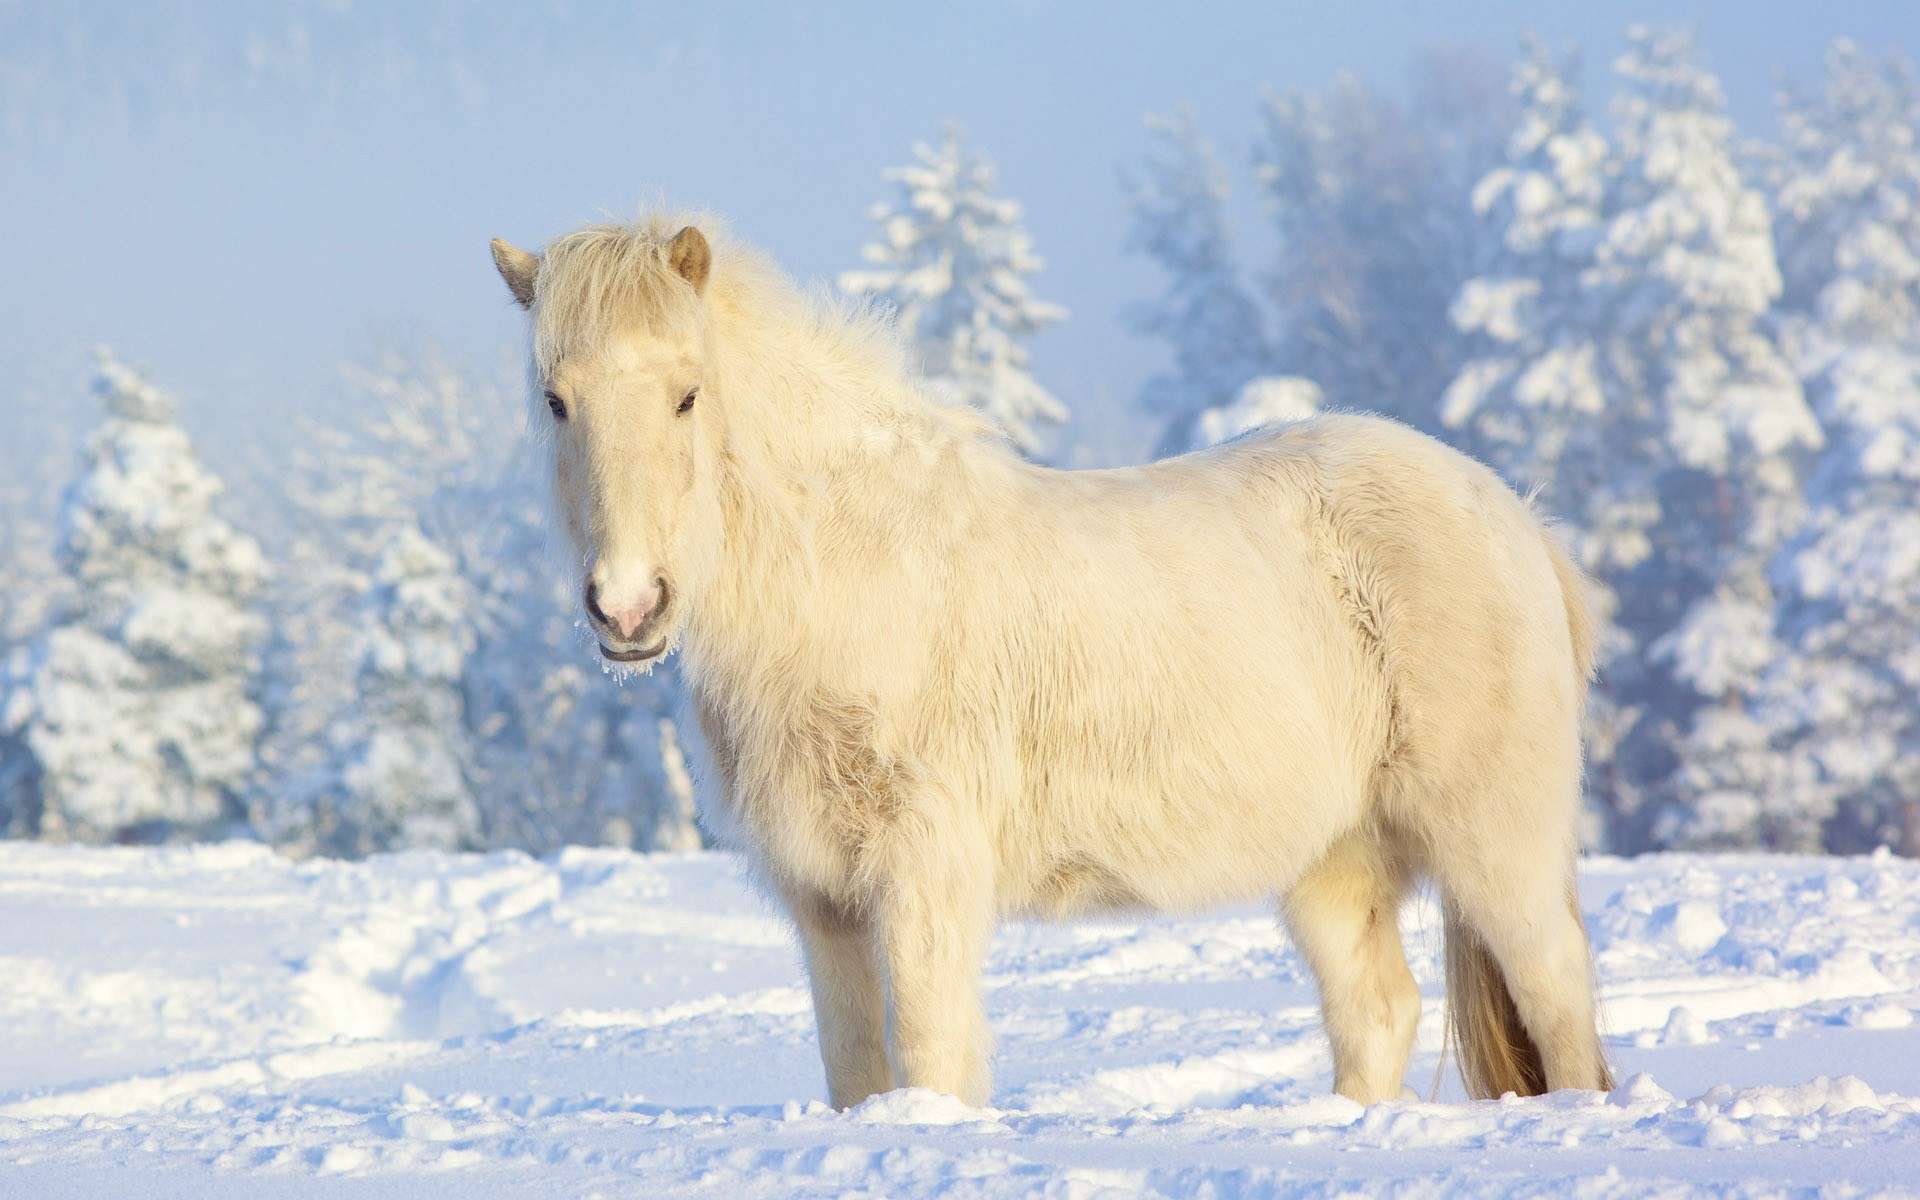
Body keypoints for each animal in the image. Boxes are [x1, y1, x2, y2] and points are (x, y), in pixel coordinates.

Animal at [487, 213, 1612, 1105]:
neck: (852, 569)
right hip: (1334, 862)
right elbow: (859, 1073)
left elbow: (932, 1057)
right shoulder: (825, 904)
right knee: (1378, 1012)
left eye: (687, 396)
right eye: (555, 401)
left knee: (1558, 993)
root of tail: (1518, 518)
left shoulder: (924, 877)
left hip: (1494, 842)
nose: (628, 607)